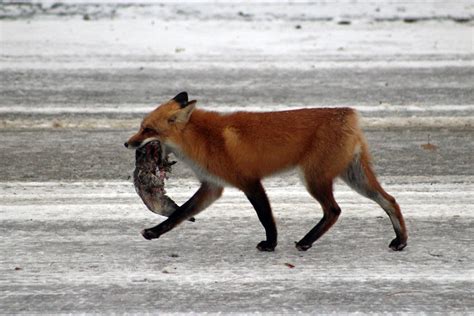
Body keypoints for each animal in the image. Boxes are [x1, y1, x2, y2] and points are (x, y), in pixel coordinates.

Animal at [126, 91, 408, 252]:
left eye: (148, 130)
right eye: (140, 127)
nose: (127, 144)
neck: (204, 140)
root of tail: (348, 114)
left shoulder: (249, 181)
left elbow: (265, 217)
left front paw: (270, 244)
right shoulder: (212, 187)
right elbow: (180, 214)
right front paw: (154, 232)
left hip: (314, 179)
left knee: (334, 210)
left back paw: (306, 241)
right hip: (353, 177)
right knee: (390, 200)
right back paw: (401, 241)